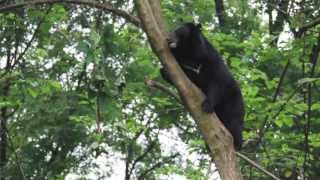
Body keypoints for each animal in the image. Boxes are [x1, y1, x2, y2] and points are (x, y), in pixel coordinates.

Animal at [160, 21, 245, 150]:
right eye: (173, 30)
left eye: (178, 31)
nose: (168, 39)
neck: (190, 54)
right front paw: (164, 72)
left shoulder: (211, 61)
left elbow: (217, 83)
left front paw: (207, 105)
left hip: (234, 104)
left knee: (233, 123)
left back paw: (237, 144)